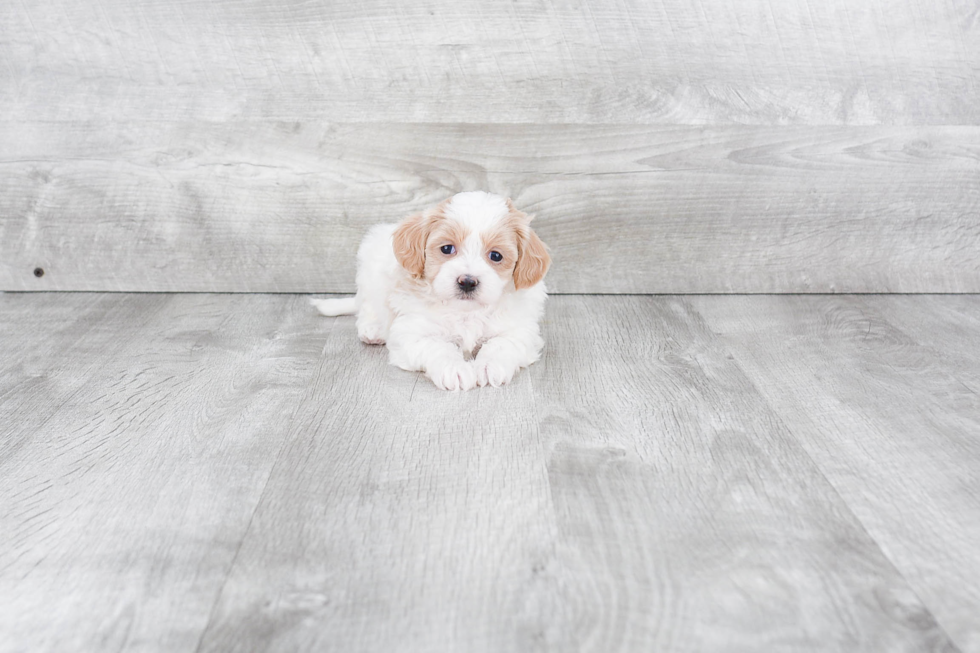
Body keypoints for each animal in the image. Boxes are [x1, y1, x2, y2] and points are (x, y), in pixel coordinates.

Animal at [312, 191, 552, 390]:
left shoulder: (519, 330)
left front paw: (488, 366)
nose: (467, 281)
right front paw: (455, 369)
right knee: (367, 305)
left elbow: (501, 344)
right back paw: (372, 329)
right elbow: (438, 347)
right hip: (370, 269)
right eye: (447, 248)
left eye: (496, 255)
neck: (465, 311)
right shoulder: (413, 332)